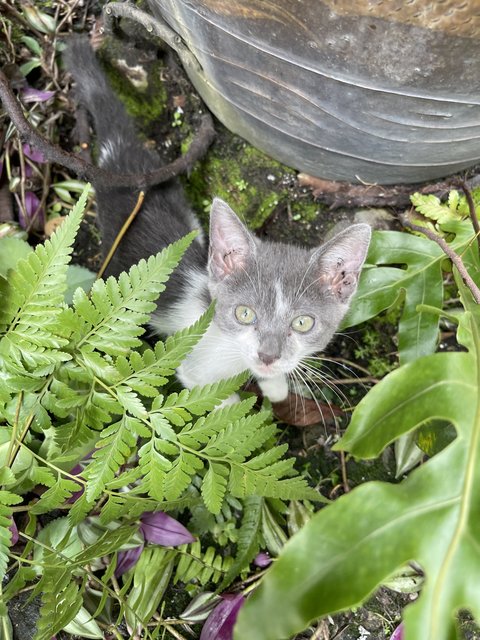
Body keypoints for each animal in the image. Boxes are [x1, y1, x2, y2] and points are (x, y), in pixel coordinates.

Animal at [64, 37, 372, 402]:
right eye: (244, 314)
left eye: (303, 323)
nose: (268, 356)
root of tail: (123, 157)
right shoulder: (193, 366)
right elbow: (216, 398)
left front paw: (276, 386)